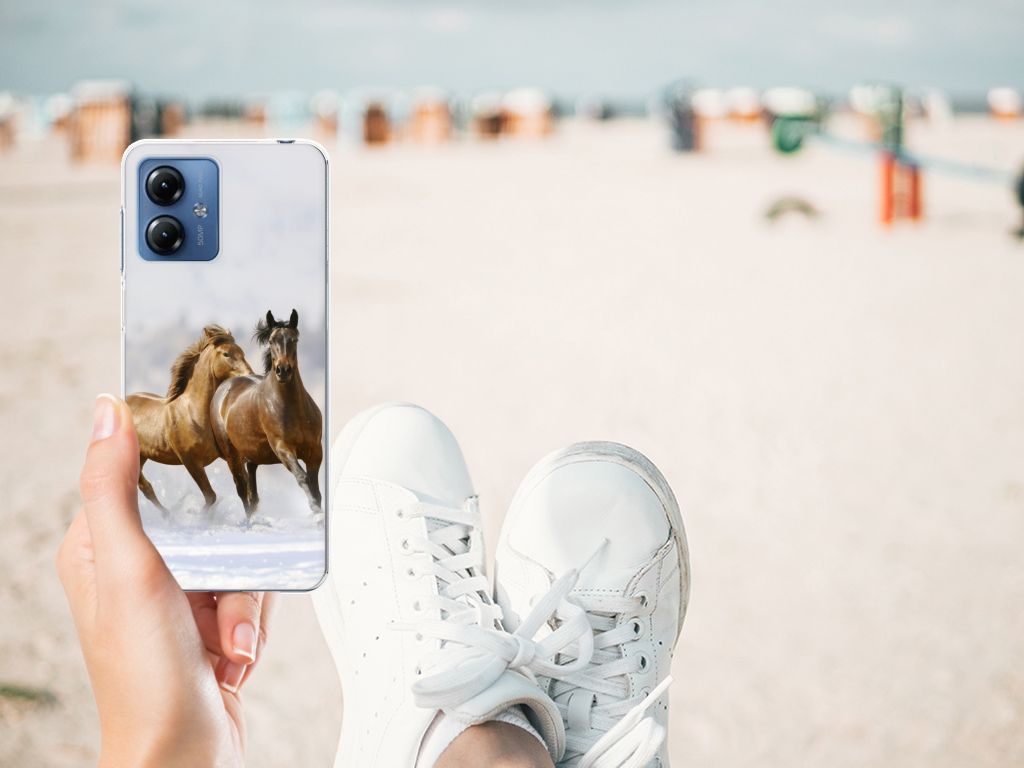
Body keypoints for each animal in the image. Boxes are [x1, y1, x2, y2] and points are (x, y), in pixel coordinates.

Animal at [127, 325, 254, 513]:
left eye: (242, 352)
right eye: (226, 354)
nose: (249, 374)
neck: (193, 414)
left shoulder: (228, 455)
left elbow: (243, 489)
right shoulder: (190, 461)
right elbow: (210, 496)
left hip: (142, 457)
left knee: (144, 487)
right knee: (145, 486)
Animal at [210, 309, 323, 518]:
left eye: (294, 339)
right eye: (271, 341)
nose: (283, 370)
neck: (293, 409)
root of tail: (224, 388)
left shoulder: (315, 451)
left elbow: (316, 488)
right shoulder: (283, 448)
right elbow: (302, 477)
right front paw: (315, 511)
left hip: (252, 456)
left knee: (252, 494)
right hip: (232, 455)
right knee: (242, 490)